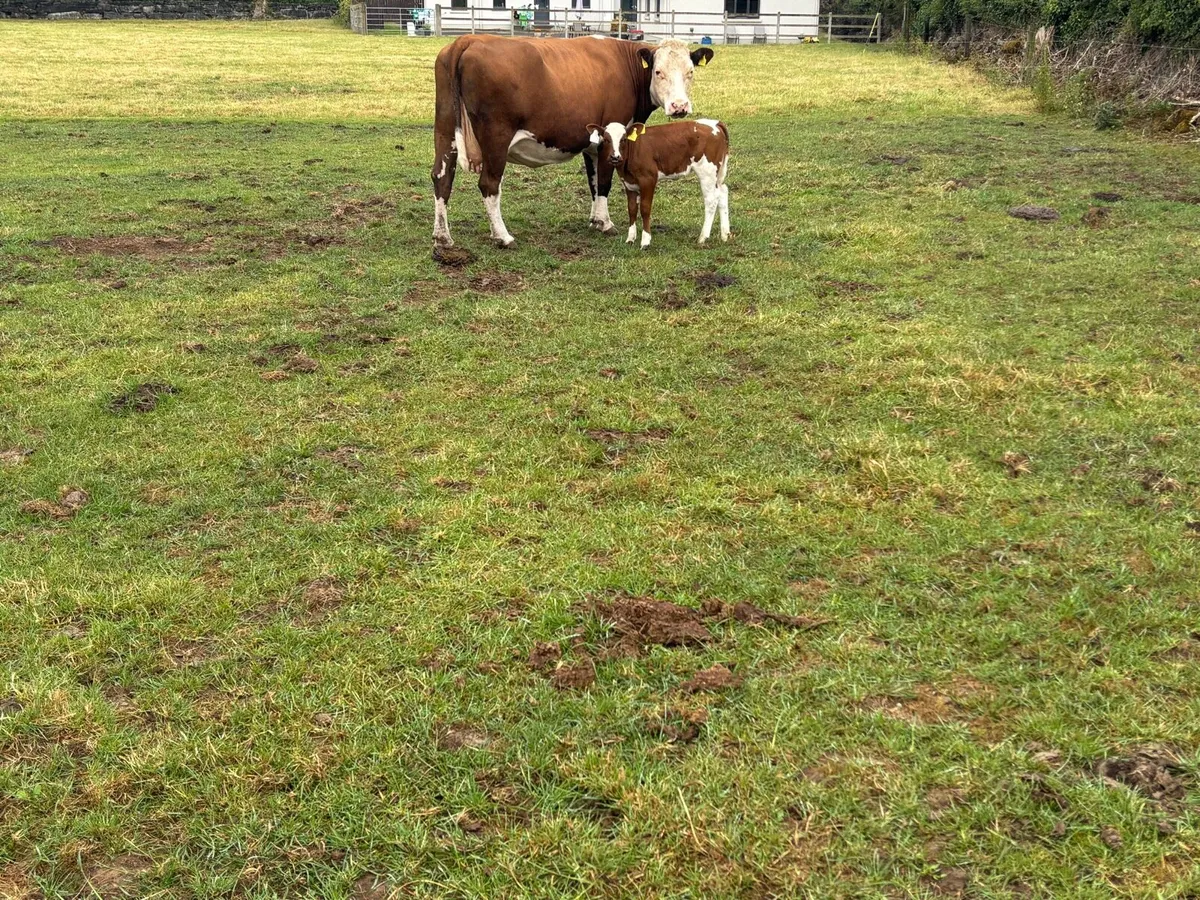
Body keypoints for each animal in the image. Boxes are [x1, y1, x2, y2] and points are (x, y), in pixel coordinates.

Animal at [430, 35, 714, 250]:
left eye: (690, 73)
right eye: (658, 72)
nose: (679, 106)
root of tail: (468, 39)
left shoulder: (592, 144)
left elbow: (594, 182)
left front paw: (595, 219)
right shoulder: (608, 139)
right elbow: (604, 182)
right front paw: (605, 223)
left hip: (445, 129)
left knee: (442, 176)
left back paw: (442, 237)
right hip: (496, 137)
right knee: (489, 184)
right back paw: (503, 236)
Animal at [587, 118, 730, 249]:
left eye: (623, 139)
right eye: (606, 139)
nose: (615, 157)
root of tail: (715, 123)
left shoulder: (648, 179)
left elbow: (645, 209)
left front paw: (645, 241)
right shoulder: (629, 183)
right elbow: (632, 209)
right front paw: (630, 239)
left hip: (707, 172)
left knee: (711, 200)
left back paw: (703, 237)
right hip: (718, 173)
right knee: (723, 192)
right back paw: (725, 235)